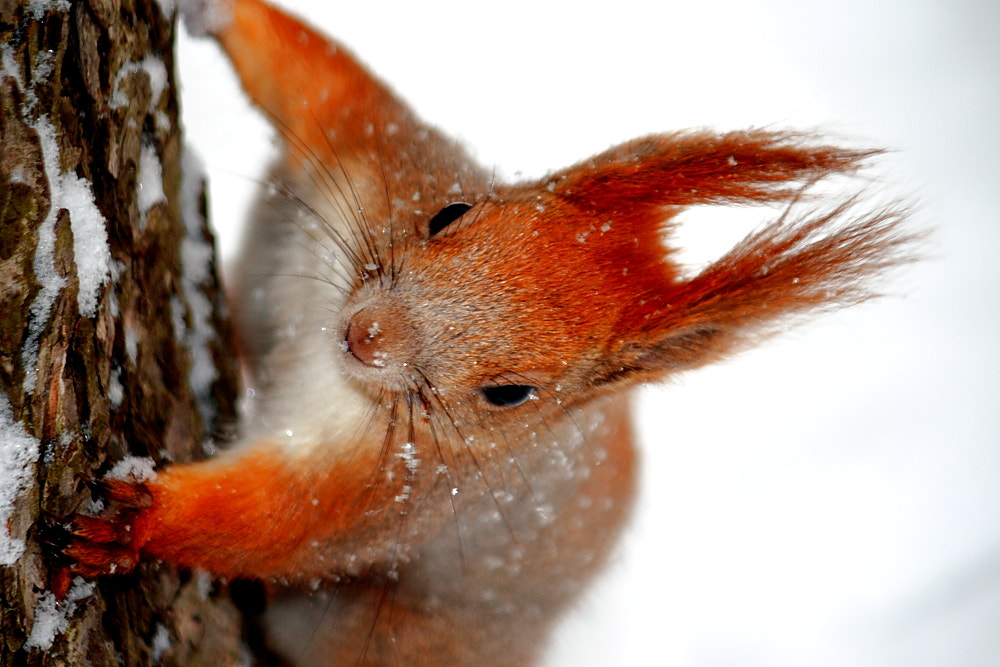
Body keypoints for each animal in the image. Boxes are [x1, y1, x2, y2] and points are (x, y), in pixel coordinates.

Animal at [66, 1, 916, 664]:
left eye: (511, 395)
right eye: (451, 212)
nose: (365, 335)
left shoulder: (396, 486)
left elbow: (276, 520)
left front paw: (138, 521)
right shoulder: (386, 156)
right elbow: (324, 83)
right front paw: (214, 9)